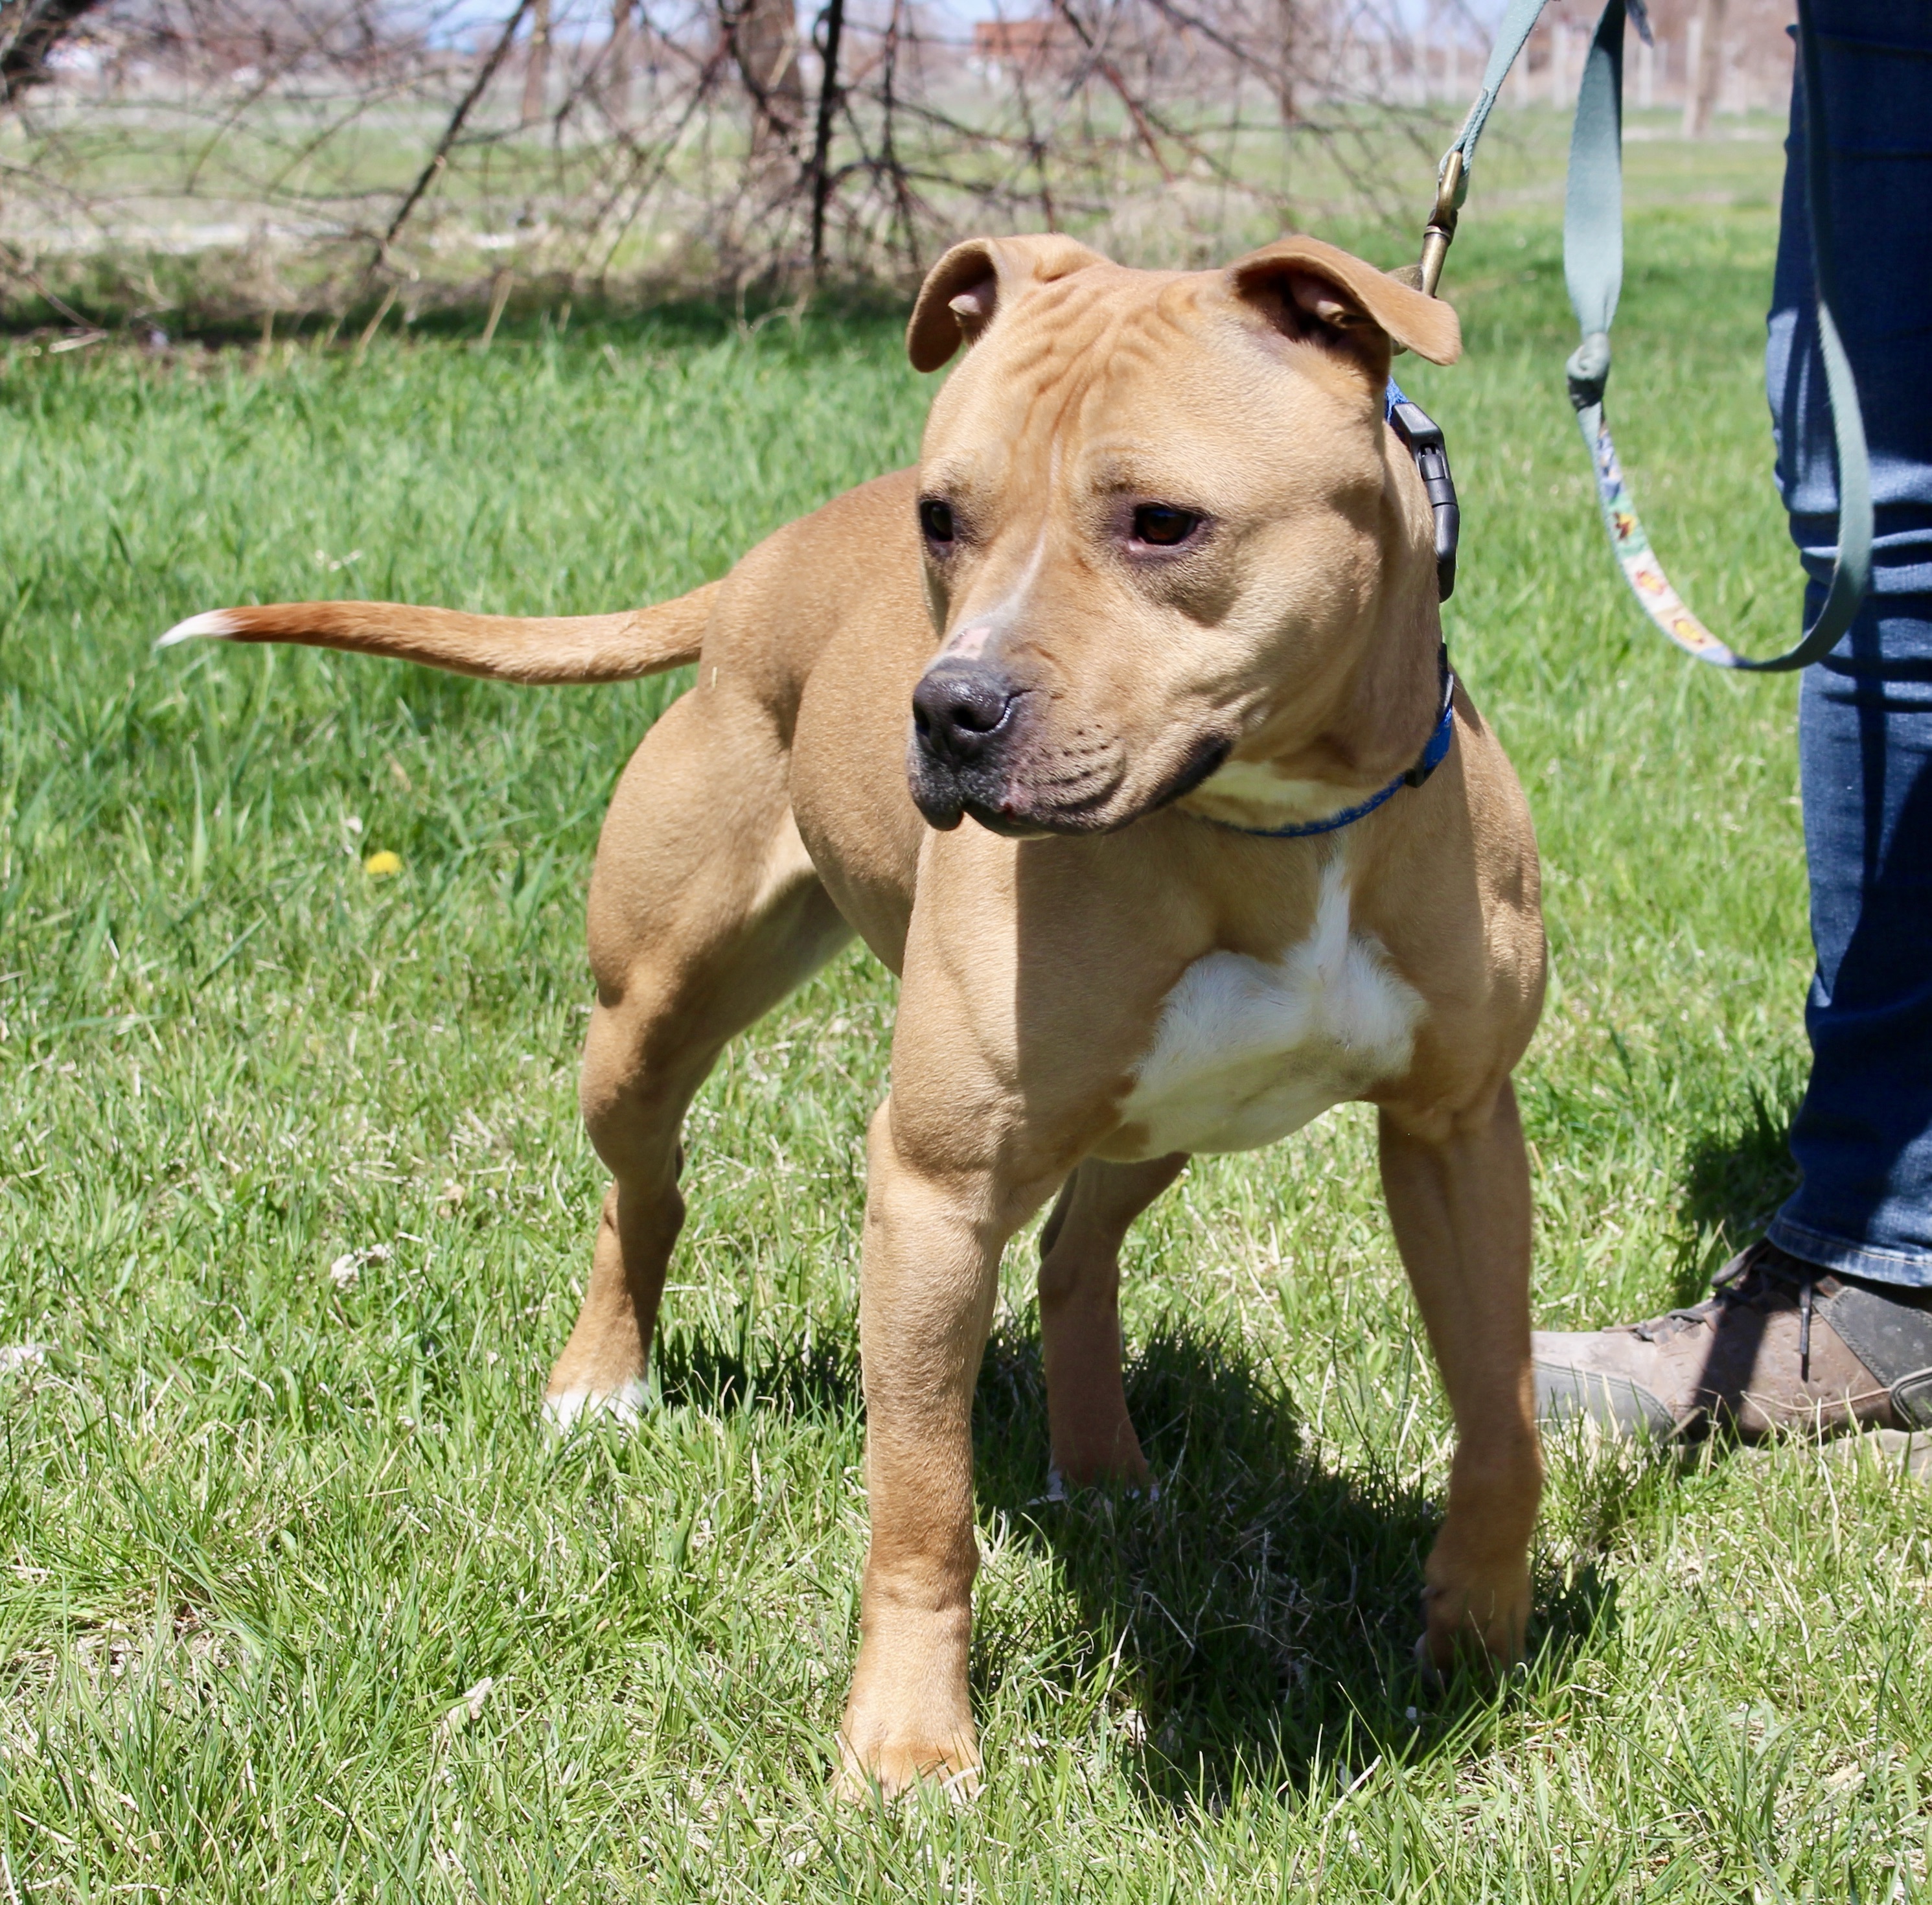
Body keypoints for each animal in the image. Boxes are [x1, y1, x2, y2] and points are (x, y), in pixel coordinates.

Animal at [170, 229, 1553, 1793]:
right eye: (941, 518)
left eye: (1162, 523)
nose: (946, 713)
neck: (1274, 822)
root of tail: (749, 576)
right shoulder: (933, 1188)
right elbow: (921, 1508)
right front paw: (906, 1745)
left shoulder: (1457, 1133)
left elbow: (1501, 1413)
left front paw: (1477, 1634)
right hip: (647, 1018)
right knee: (645, 1193)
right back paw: (601, 1383)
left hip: (1154, 1118)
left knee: (1075, 1252)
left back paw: (1101, 1465)